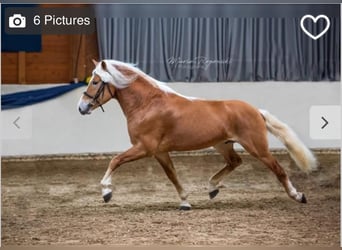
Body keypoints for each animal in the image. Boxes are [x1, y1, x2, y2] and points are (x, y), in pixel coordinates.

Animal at [77, 59, 316, 210]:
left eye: (95, 82)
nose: (82, 107)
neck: (148, 105)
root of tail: (256, 110)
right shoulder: (159, 152)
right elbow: (172, 175)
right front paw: (185, 202)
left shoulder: (144, 148)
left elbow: (115, 160)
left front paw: (106, 192)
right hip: (223, 144)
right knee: (235, 162)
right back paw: (212, 188)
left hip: (257, 147)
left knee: (278, 169)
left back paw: (298, 196)